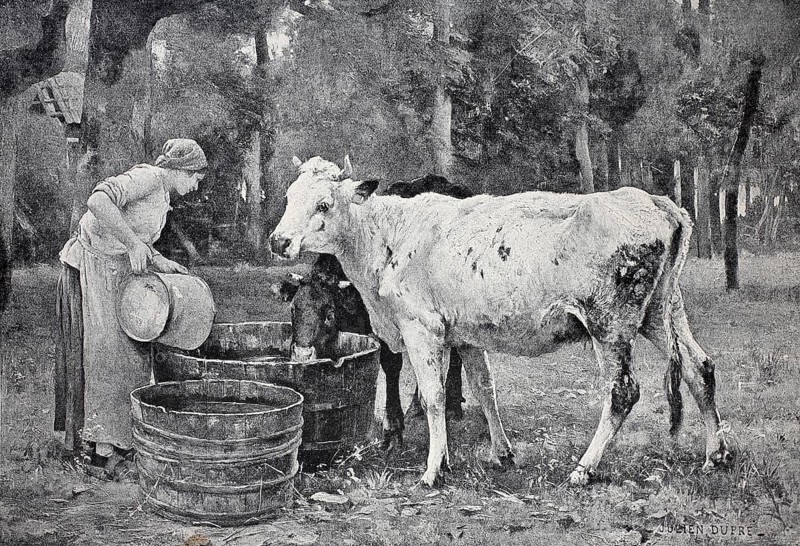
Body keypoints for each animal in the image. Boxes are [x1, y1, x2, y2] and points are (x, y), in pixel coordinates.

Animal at [276, 174, 475, 450]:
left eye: (328, 314)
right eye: (294, 309)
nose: (302, 355)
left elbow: (391, 366)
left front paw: (393, 429)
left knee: (455, 356)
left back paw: (454, 405)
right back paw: (417, 406)